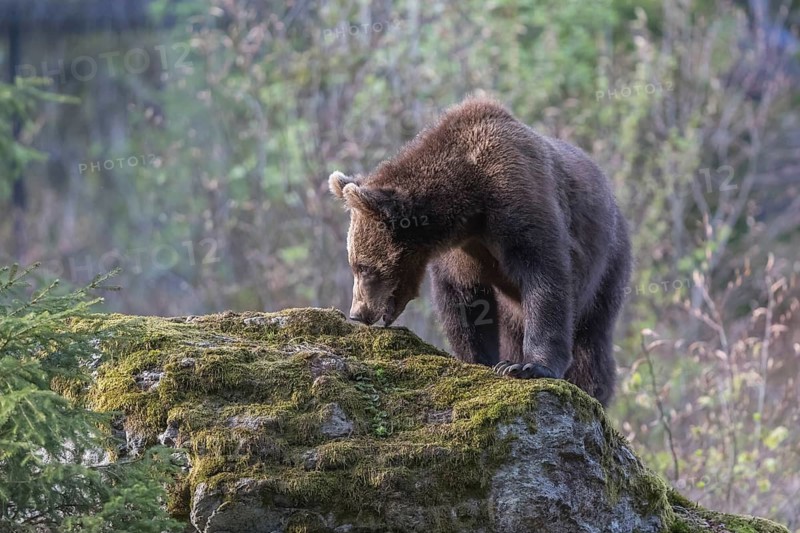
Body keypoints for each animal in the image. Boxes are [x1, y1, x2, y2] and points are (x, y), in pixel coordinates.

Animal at [328, 96, 632, 406]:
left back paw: (592, 389)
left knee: (592, 340)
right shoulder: (462, 252)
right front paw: (482, 360)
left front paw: (528, 366)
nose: (357, 313)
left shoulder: (519, 199)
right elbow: (464, 300)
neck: (469, 200)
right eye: (355, 264)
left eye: (363, 267)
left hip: (608, 262)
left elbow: (544, 274)